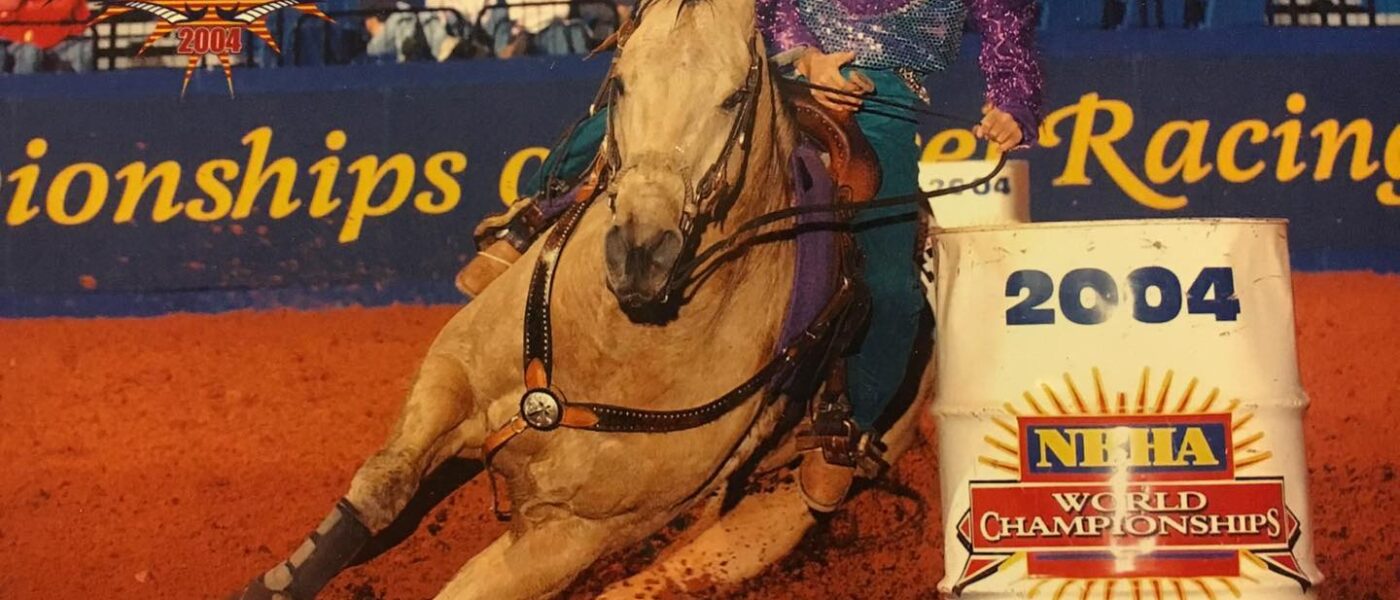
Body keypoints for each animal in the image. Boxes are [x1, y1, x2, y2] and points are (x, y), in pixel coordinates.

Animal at [237, 0, 935, 596]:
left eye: (735, 94)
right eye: (620, 81)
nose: (641, 251)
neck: (617, 342)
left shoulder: (578, 536)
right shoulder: (455, 371)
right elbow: (384, 485)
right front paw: (275, 581)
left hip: (776, 508)